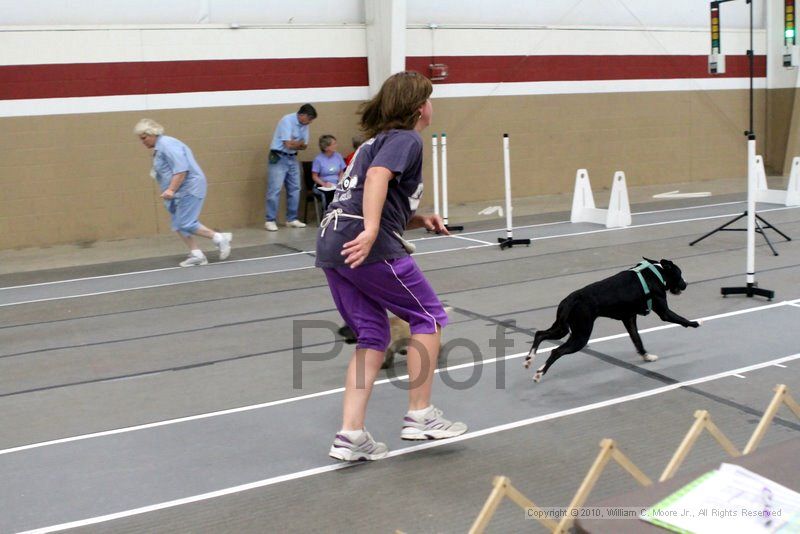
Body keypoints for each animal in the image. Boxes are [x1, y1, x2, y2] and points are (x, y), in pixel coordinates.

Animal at [524, 258, 700, 382]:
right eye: (680, 274)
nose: (686, 284)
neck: (656, 273)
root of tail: (572, 299)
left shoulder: (629, 319)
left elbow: (637, 339)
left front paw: (646, 356)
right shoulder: (664, 313)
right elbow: (681, 319)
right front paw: (695, 323)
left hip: (562, 328)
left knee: (540, 334)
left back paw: (529, 359)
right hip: (580, 335)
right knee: (556, 351)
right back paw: (539, 373)